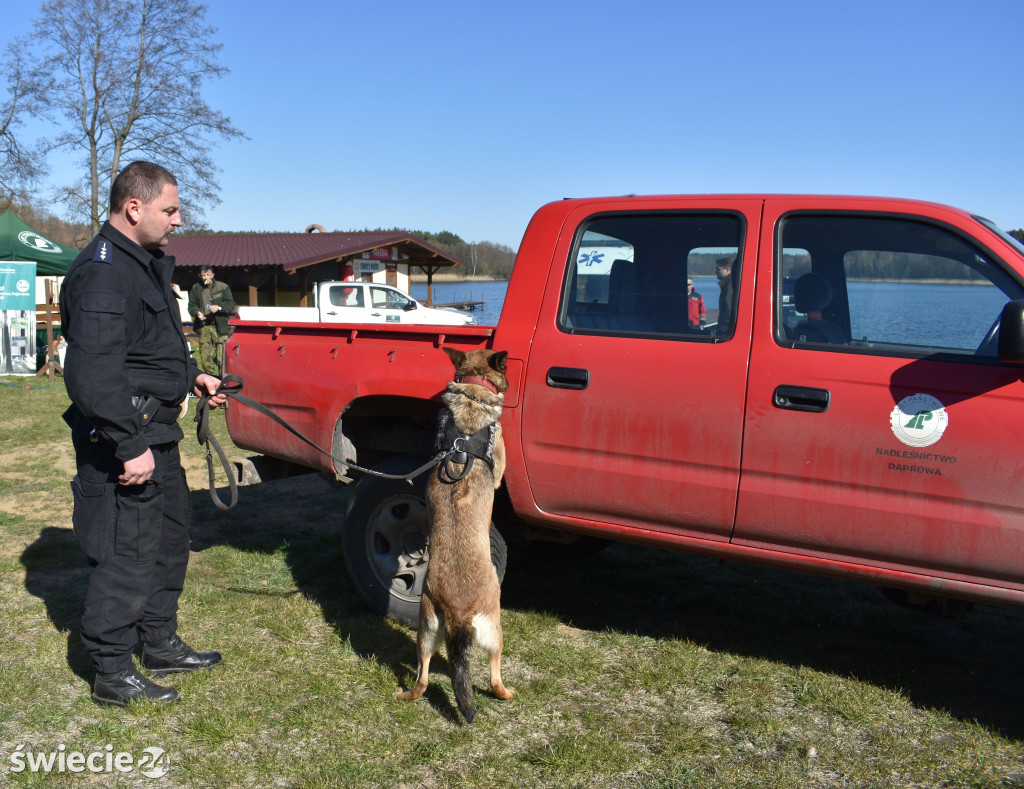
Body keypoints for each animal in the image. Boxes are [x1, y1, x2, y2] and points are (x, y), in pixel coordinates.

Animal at [395, 347, 516, 724]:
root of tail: (459, 612)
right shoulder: (500, 463)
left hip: (426, 629)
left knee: (422, 680)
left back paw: (407, 694)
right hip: (495, 630)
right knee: (493, 676)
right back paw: (506, 693)